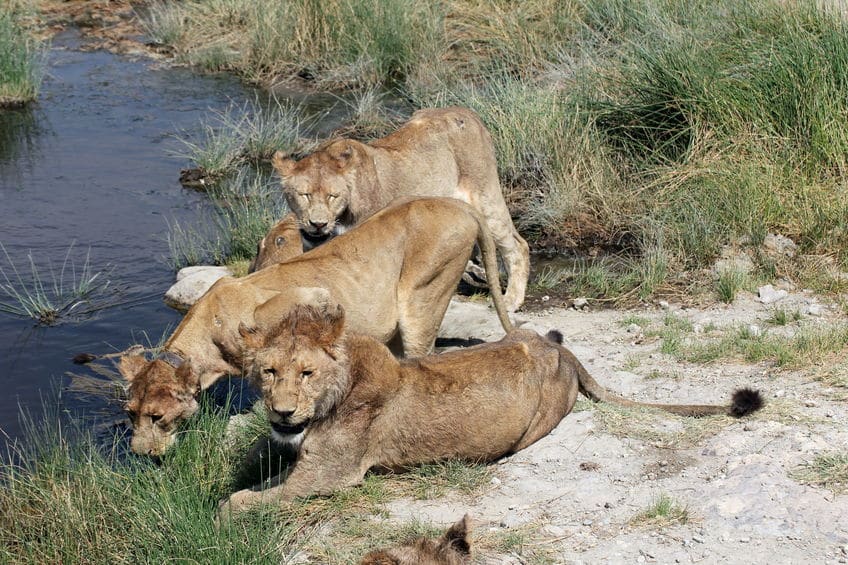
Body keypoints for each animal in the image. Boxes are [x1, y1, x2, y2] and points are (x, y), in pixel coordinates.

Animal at [117, 196, 510, 456]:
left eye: (156, 416)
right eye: (131, 414)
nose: (138, 453)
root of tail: (455, 203)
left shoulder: (311, 295)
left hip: (423, 293)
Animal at [217, 302, 760, 516]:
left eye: (306, 373)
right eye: (270, 373)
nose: (282, 413)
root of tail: (558, 349)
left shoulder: (329, 478)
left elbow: (240, 502)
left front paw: (221, 512)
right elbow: (255, 474)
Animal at [272, 103, 528, 310]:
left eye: (333, 196)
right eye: (304, 195)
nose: (317, 224)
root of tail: (468, 112)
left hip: (486, 198)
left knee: (519, 245)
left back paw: (510, 301)